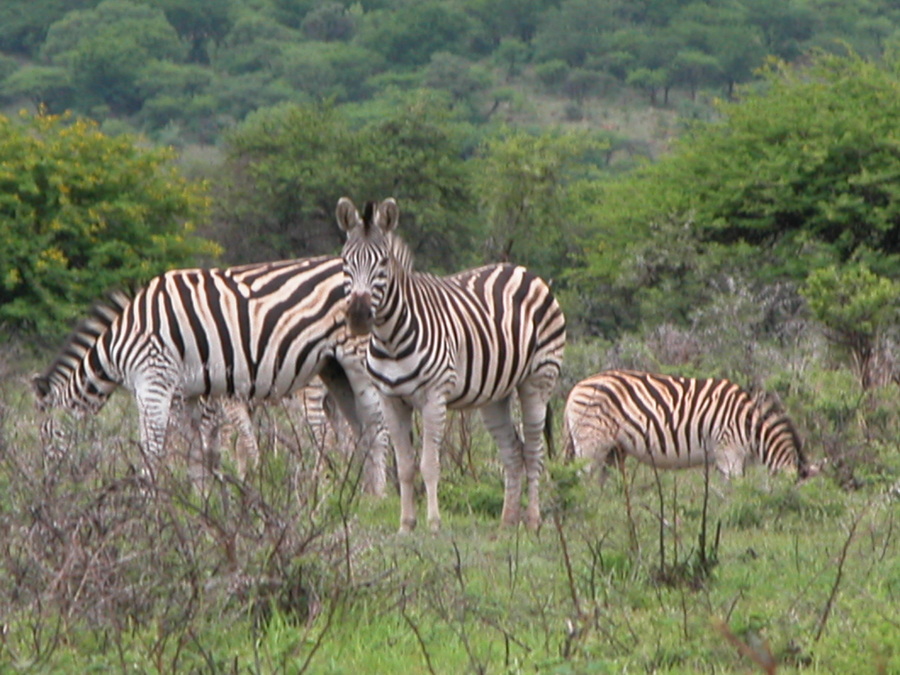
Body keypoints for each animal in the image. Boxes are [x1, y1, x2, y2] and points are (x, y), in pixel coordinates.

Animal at [30, 256, 390, 494]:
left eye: (46, 433)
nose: (48, 486)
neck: (118, 342)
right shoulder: (190, 393)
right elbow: (198, 452)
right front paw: (200, 503)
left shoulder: (157, 383)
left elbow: (155, 447)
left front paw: (150, 502)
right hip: (335, 371)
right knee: (355, 432)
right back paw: (358, 493)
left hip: (350, 367)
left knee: (373, 429)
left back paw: (372, 497)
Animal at [334, 195, 568, 532]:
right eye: (345, 261)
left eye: (384, 262)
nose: (358, 317)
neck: (390, 338)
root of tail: (522, 270)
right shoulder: (390, 400)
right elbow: (404, 467)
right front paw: (406, 525)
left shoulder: (434, 397)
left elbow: (429, 464)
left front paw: (433, 524)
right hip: (494, 395)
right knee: (513, 452)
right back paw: (507, 523)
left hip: (539, 379)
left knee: (534, 451)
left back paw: (533, 520)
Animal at [568, 370, 812, 480]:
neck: (751, 425)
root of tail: (577, 387)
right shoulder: (728, 449)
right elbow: (734, 487)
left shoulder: (729, 455)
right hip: (591, 441)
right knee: (584, 476)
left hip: (613, 448)